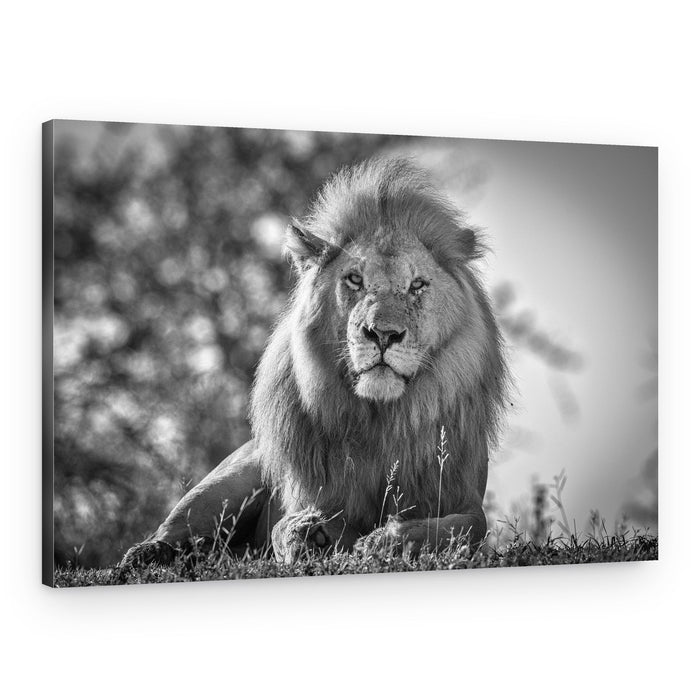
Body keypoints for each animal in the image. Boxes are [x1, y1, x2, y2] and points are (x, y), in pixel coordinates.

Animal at [120, 157, 507, 567]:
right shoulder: (309, 495)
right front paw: (309, 535)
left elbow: (462, 528)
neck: (383, 420)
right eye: (354, 280)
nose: (382, 334)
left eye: (417, 285)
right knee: (177, 530)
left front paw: (387, 541)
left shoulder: (464, 498)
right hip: (231, 479)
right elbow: (285, 526)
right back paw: (147, 554)